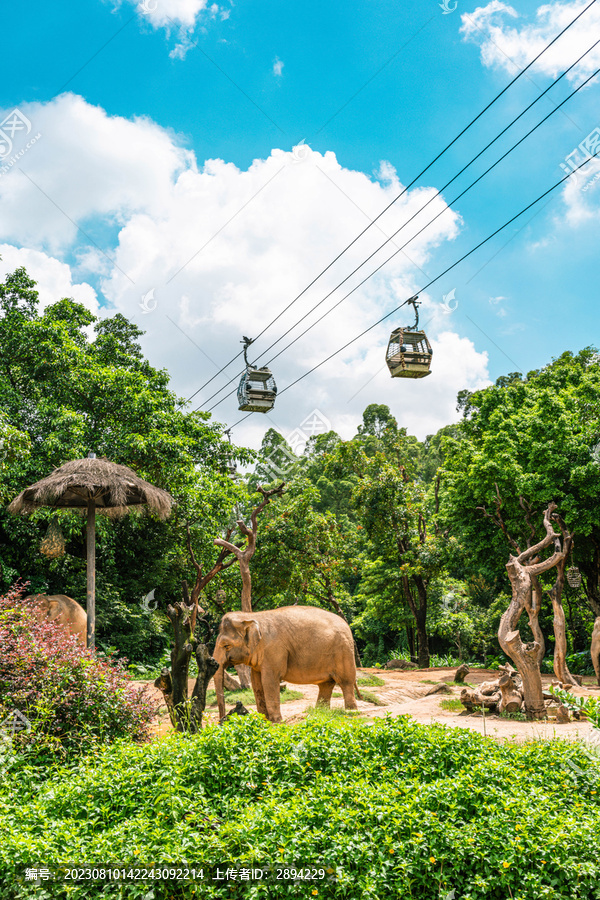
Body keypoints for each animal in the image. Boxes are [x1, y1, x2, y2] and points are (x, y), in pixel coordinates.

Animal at [213, 604, 360, 724]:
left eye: (226, 646)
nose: (221, 720)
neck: (251, 616)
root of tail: (346, 624)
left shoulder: (274, 650)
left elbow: (269, 680)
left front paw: (276, 721)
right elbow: (256, 682)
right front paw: (263, 719)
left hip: (344, 651)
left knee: (345, 682)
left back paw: (351, 711)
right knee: (326, 684)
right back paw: (320, 712)